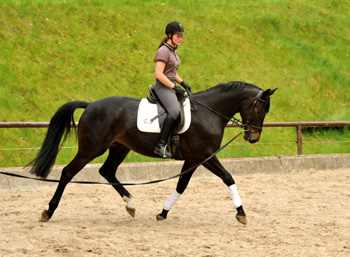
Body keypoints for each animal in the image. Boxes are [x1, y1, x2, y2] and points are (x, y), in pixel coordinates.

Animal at [28, 81, 276, 223]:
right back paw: (48, 211)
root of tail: (90, 105)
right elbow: (228, 178)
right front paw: (241, 213)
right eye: (259, 109)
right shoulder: (205, 156)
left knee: (107, 171)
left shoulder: (193, 159)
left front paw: (163, 213)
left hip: (119, 148)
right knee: (68, 173)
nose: (253, 137)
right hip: (91, 148)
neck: (209, 112)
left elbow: (181, 186)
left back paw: (130, 204)